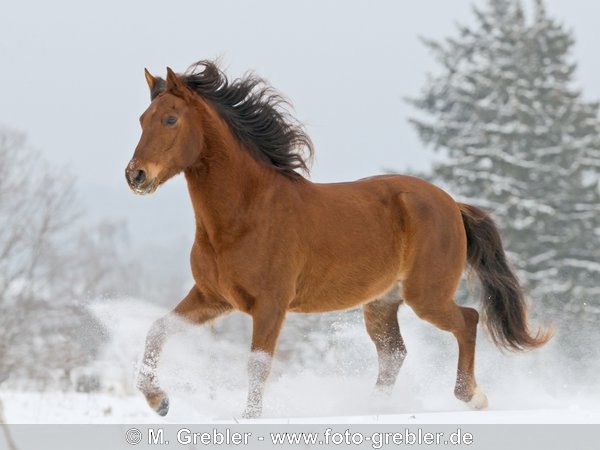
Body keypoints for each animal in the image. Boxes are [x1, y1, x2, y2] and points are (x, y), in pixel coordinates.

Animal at [126, 59, 552, 418]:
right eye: (143, 119)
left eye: (170, 119)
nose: (136, 175)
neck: (243, 215)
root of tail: (451, 204)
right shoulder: (213, 297)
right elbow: (157, 330)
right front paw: (159, 401)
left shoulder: (270, 305)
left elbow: (258, 365)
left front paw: (248, 419)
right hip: (382, 303)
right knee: (394, 354)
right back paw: (372, 408)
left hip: (426, 296)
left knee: (468, 320)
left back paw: (472, 396)